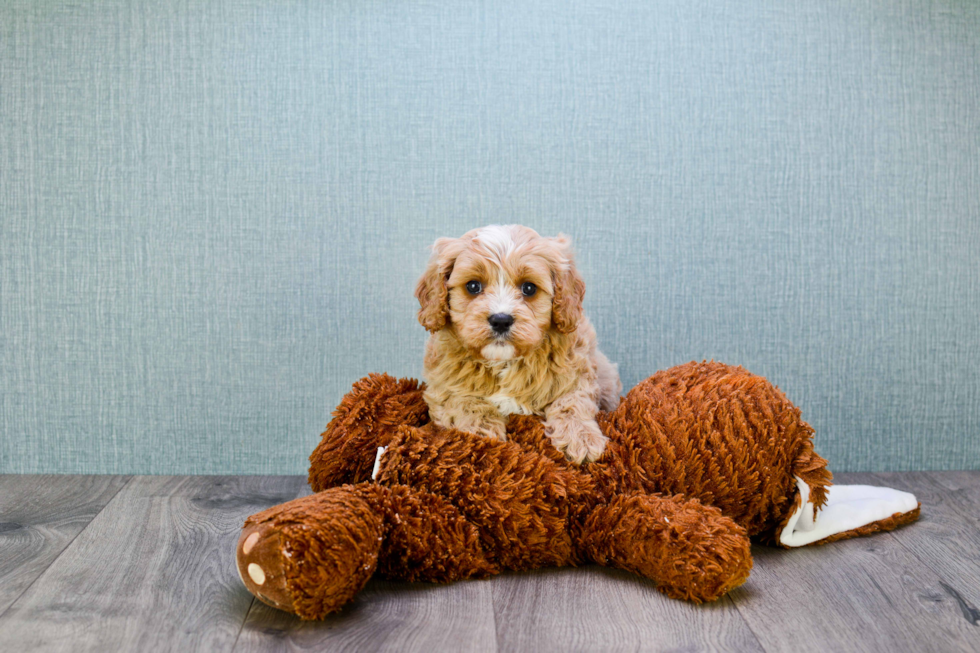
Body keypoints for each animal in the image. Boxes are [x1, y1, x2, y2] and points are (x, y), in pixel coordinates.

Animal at [414, 224, 620, 464]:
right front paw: (483, 432)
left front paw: (581, 438)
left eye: (529, 288)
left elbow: (571, 402)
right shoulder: (443, 385)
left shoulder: (577, 374)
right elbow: (466, 400)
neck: (504, 361)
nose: (501, 320)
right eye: (473, 286)